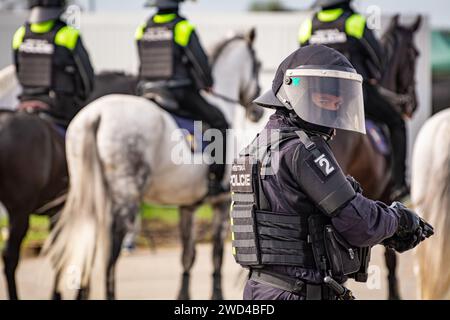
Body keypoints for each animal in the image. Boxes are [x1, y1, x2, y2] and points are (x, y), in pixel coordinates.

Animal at [43, 28, 264, 298]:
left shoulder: (188, 206)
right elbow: (217, 256)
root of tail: (97, 115)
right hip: (124, 200)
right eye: (258, 64)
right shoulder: (222, 203)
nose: (256, 112)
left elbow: (188, 255)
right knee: (110, 254)